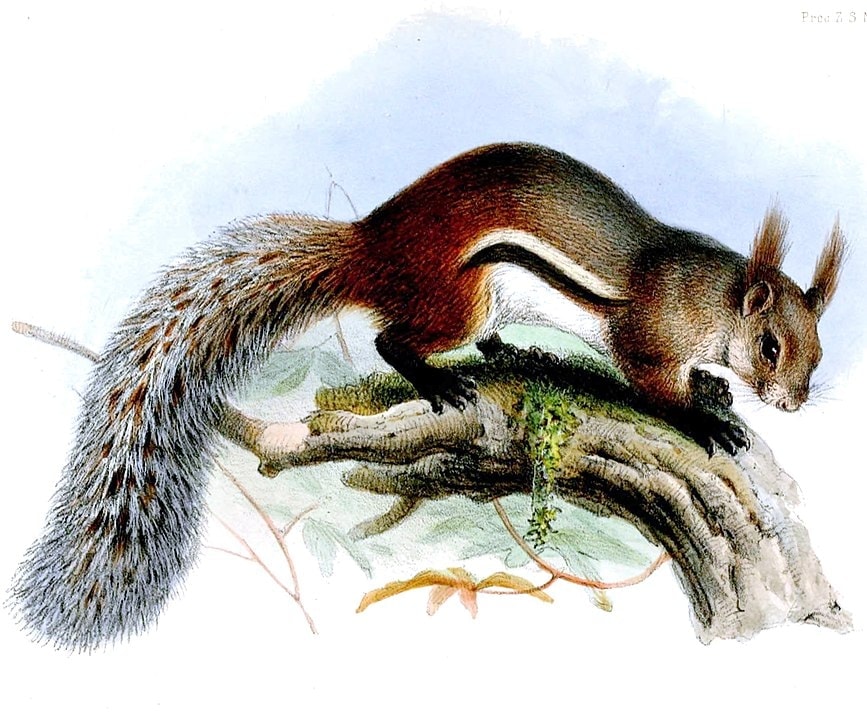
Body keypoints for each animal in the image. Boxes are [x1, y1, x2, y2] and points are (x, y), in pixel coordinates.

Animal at [10, 142, 845, 650]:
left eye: (815, 351)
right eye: (770, 347)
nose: (791, 404)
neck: (708, 299)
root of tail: (371, 251)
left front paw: (711, 386)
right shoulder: (646, 335)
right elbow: (650, 384)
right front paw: (705, 419)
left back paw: (516, 352)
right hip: (458, 297)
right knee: (394, 339)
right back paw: (438, 377)